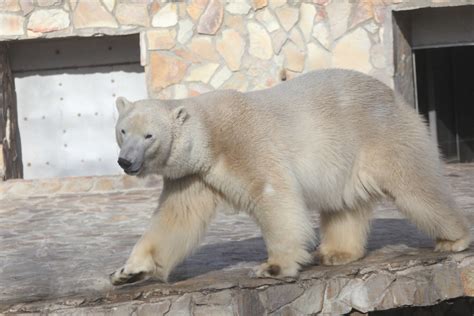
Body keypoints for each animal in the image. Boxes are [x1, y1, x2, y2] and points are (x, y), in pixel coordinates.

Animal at [110, 69, 470, 286]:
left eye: (149, 136)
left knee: (416, 185)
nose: (126, 161)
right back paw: (335, 253)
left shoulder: (245, 144)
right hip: (345, 159)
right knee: (343, 204)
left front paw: (273, 266)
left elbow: (273, 195)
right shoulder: (193, 173)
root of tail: (394, 96)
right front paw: (127, 272)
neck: (210, 136)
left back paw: (454, 239)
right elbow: (175, 218)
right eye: (123, 130)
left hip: (382, 134)